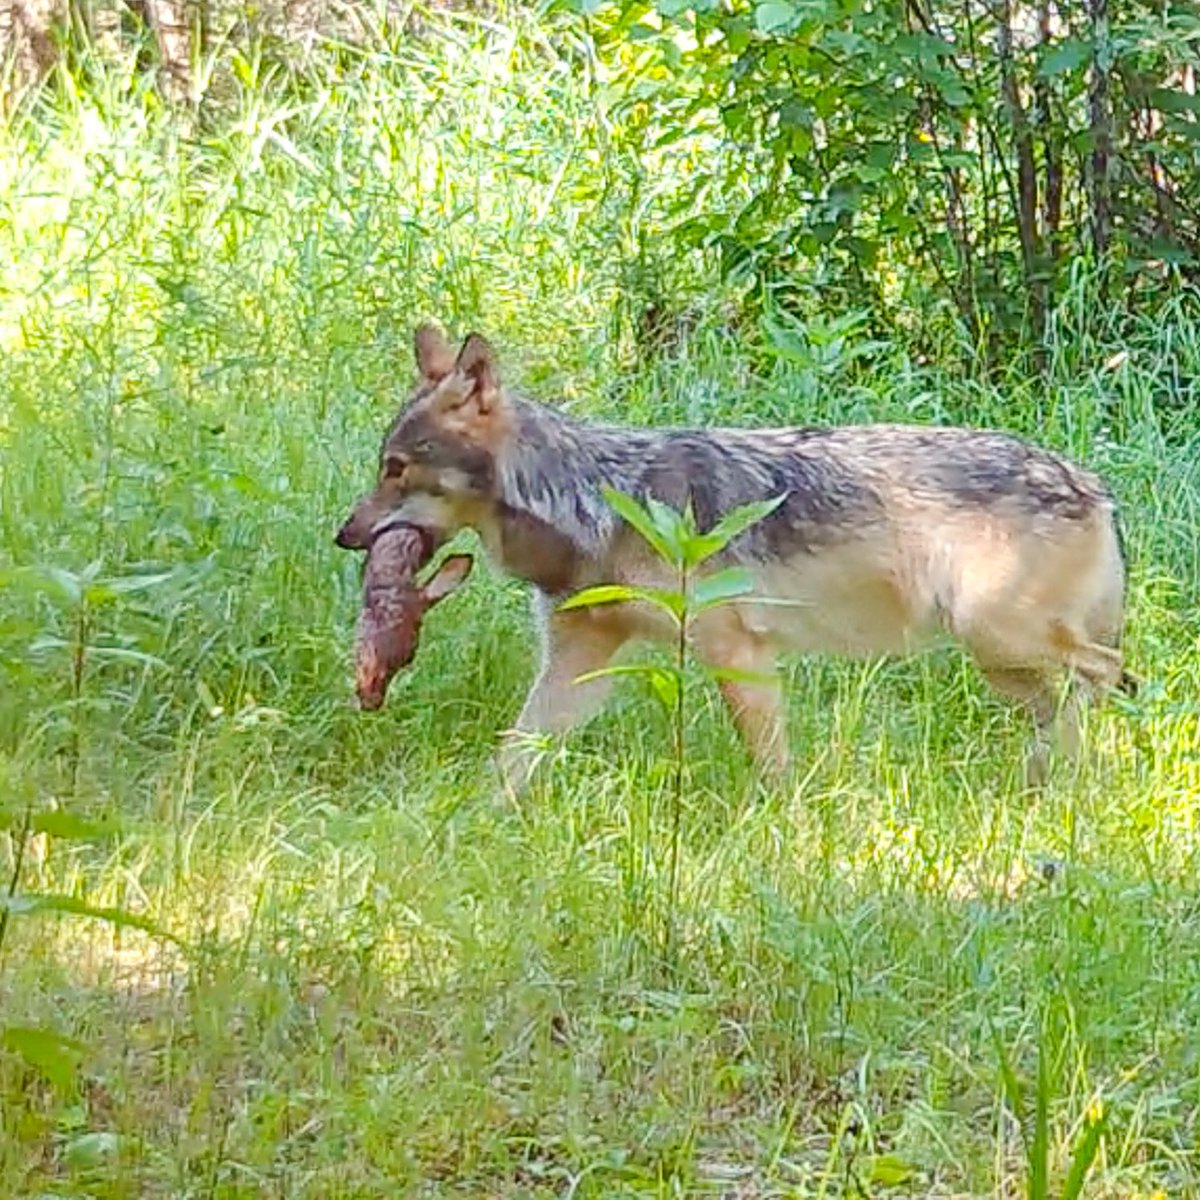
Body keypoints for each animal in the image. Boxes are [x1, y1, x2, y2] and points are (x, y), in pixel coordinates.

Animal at [335, 324, 1133, 790]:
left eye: (397, 469)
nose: (345, 536)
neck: (597, 500)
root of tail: (1092, 485)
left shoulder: (735, 650)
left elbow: (770, 763)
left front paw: (781, 829)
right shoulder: (582, 660)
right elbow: (512, 756)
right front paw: (474, 822)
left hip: (996, 637)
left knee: (1109, 674)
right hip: (999, 663)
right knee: (1077, 700)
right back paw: (1054, 781)